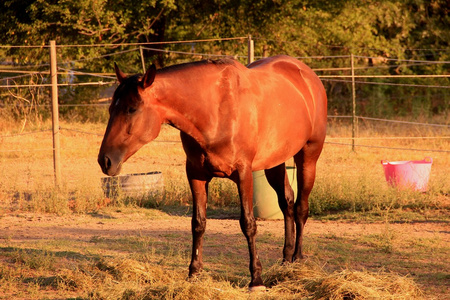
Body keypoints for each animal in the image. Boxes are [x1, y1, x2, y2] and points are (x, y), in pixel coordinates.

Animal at [97, 55, 326, 290]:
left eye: (132, 109)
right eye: (111, 109)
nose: (105, 160)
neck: (216, 110)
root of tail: (306, 74)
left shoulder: (243, 174)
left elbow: (248, 224)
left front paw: (256, 279)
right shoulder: (196, 174)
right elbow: (198, 223)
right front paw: (194, 273)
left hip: (308, 156)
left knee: (300, 208)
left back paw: (298, 260)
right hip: (274, 162)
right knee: (286, 202)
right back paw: (285, 262)